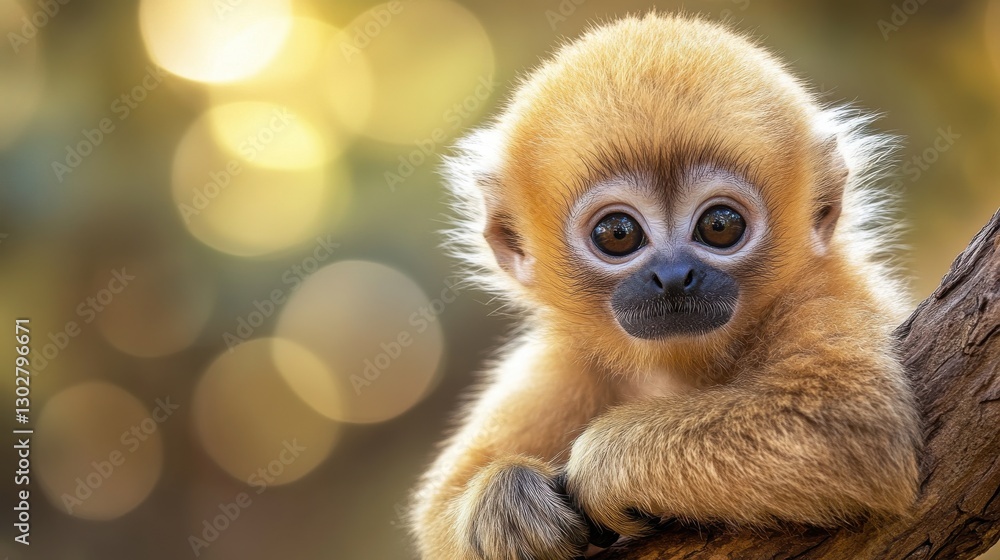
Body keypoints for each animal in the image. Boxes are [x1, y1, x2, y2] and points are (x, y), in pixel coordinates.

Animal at [410, 13, 921, 560]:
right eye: (618, 234)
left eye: (720, 226)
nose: (674, 276)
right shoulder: (566, 361)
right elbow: (436, 514)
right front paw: (506, 502)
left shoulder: (822, 293)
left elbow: (851, 429)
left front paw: (605, 464)